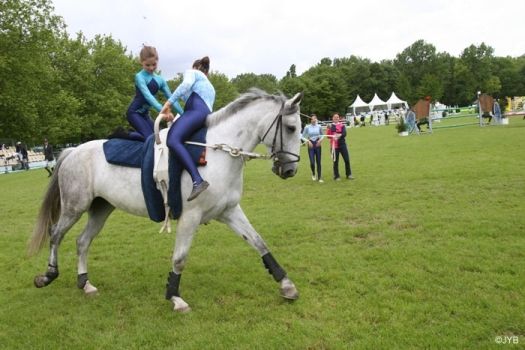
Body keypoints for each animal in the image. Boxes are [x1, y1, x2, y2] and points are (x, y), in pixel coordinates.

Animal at [28, 89, 302, 312]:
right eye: (290, 128)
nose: (290, 170)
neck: (217, 153)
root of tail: (74, 150)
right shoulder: (191, 216)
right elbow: (180, 258)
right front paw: (175, 297)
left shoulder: (229, 211)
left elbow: (259, 243)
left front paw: (286, 285)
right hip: (75, 207)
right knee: (56, 234)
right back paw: (48, 275)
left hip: (101, 209)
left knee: (82, 241)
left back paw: (85, 283)